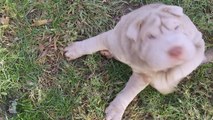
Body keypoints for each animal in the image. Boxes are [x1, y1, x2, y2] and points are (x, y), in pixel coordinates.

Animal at [64, 3, 206, 119]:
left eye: (177, 27)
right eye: (151, 36)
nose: (177, 50)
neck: (138, 55)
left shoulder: (144, 76)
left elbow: (128, 92)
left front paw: (116, 110)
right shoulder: (111, 39)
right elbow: (92, 43)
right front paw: (74, 50)